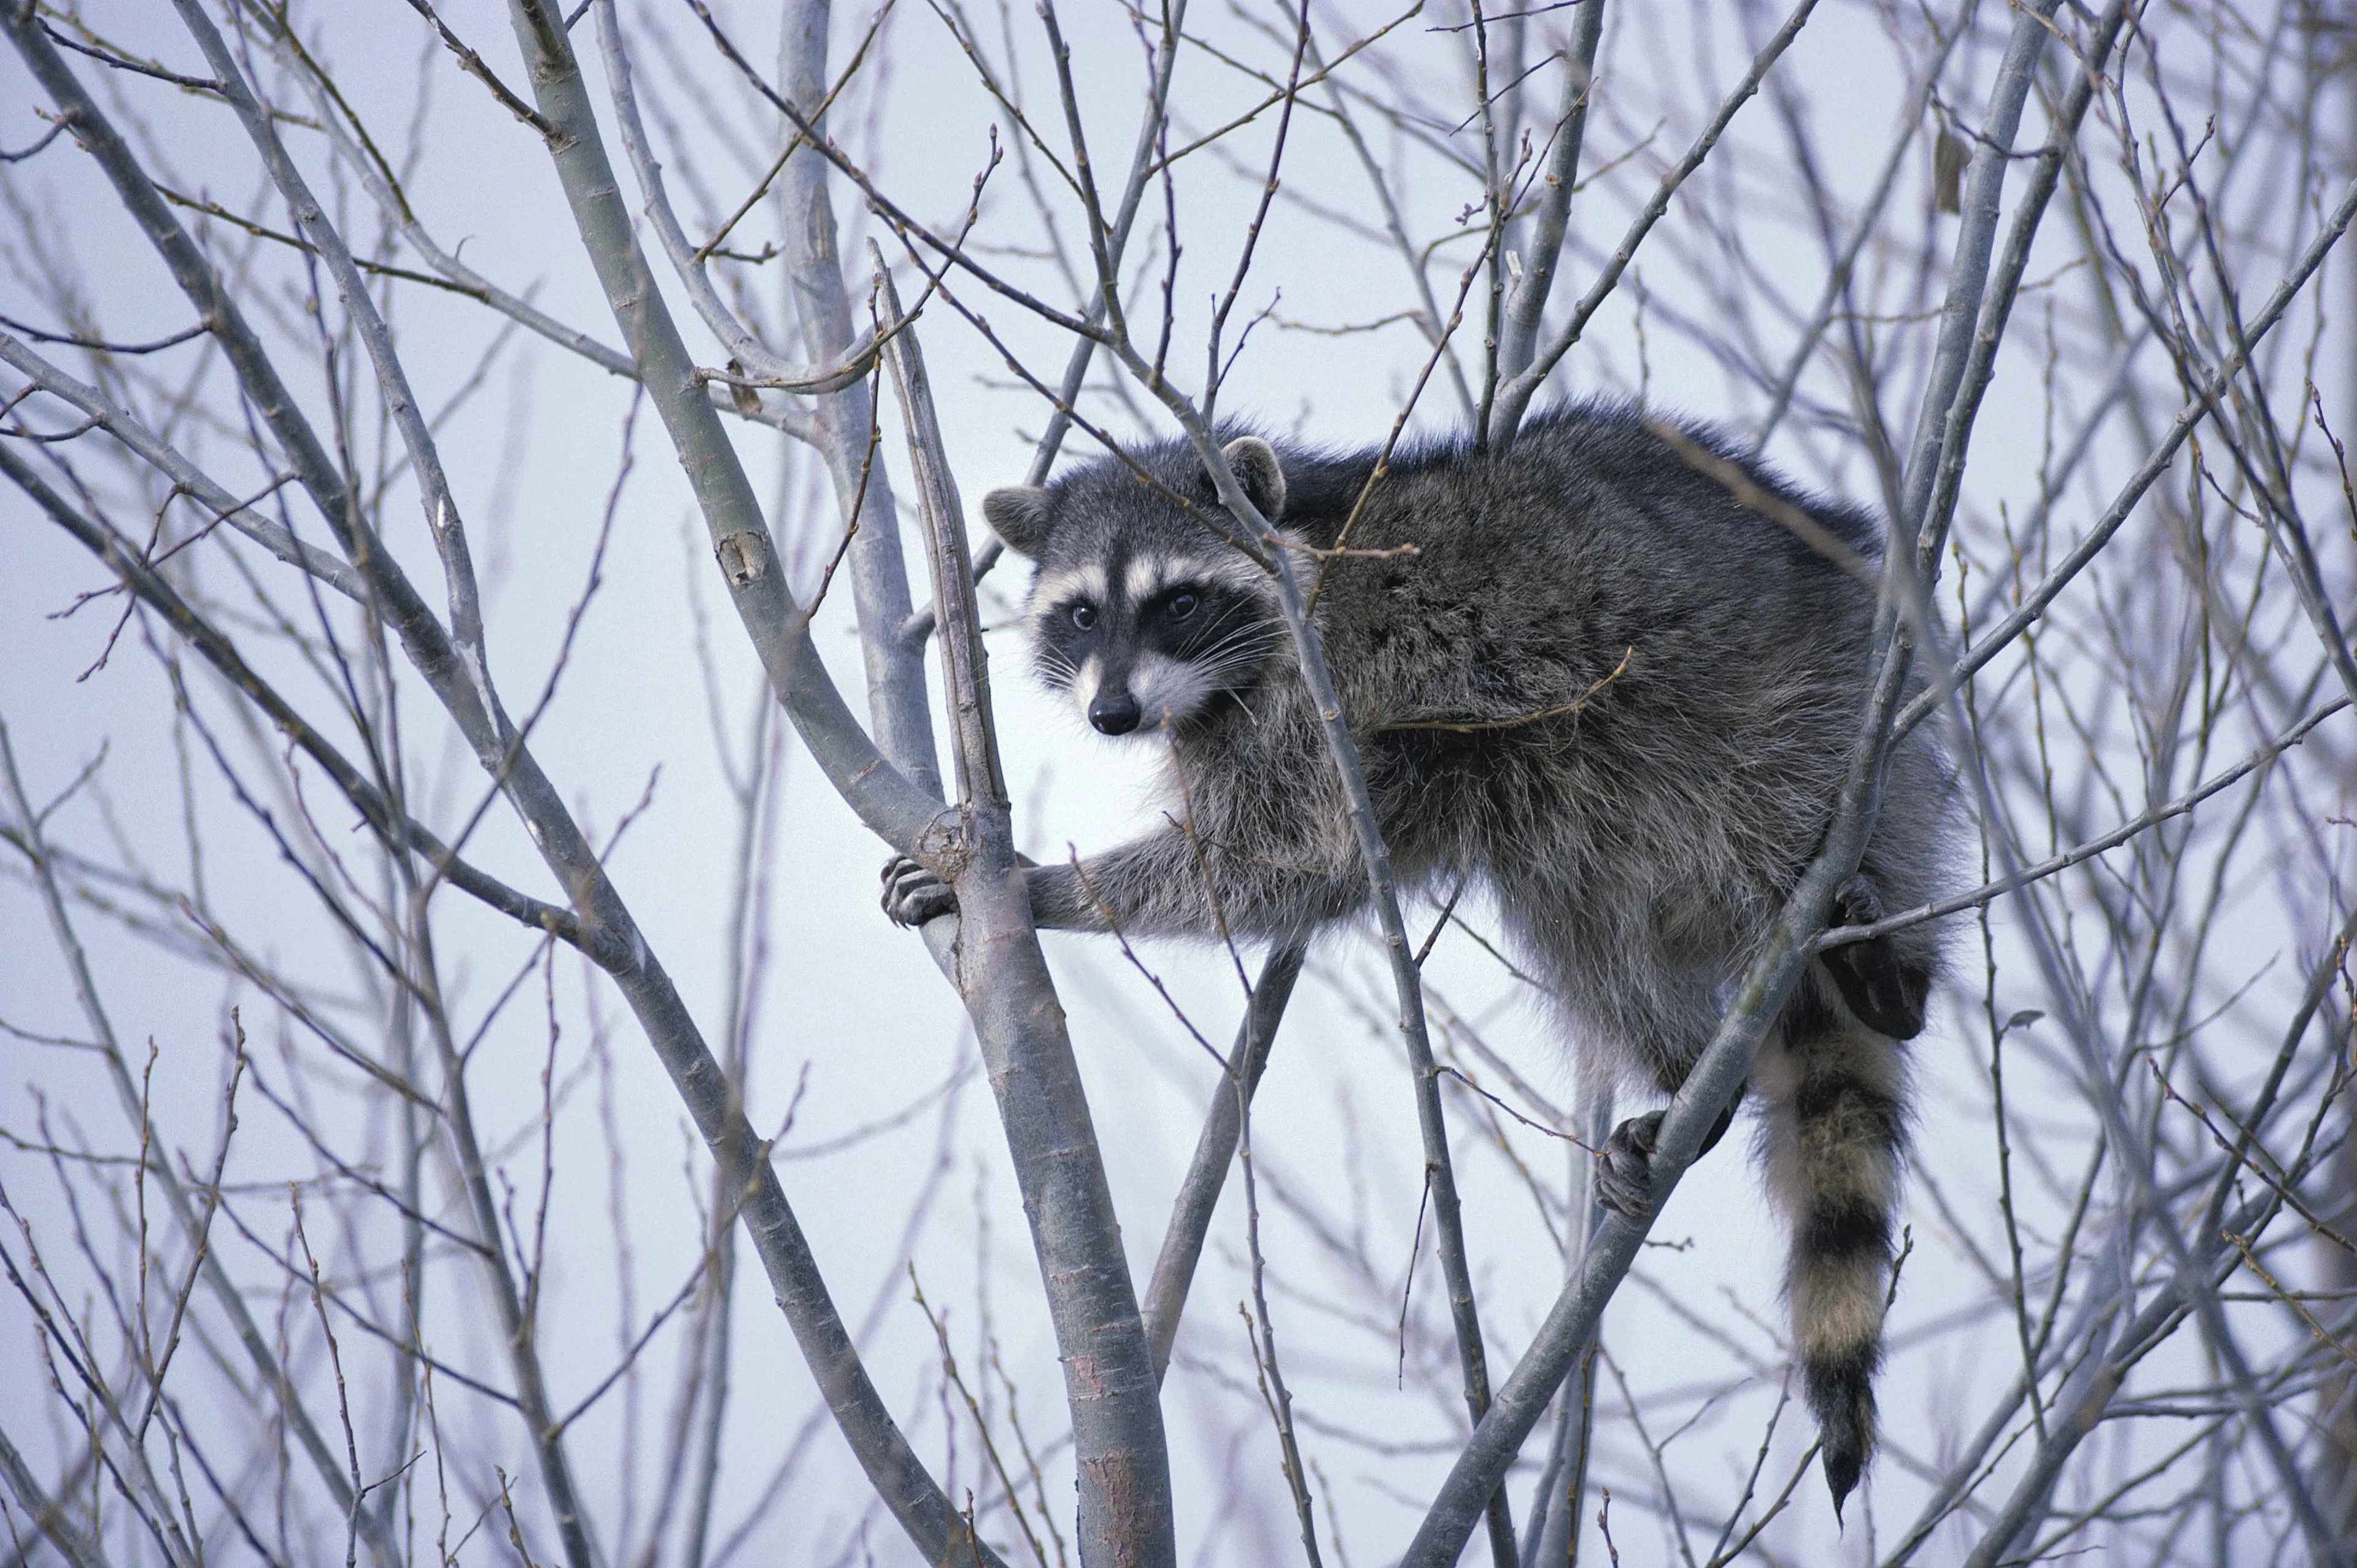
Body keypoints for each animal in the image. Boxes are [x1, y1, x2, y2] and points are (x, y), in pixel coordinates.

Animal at [882, 402, 1950, 1511]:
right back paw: (1685, 1069)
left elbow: (1274, 855)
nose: (1114, 715)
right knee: (1576, 911)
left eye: (1178, 601)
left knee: (1767, 804)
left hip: (1802, 706)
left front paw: (1045, 886)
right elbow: (1299, 872)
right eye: (1084, 613)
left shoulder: (1328, 692)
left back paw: (1890, 969)